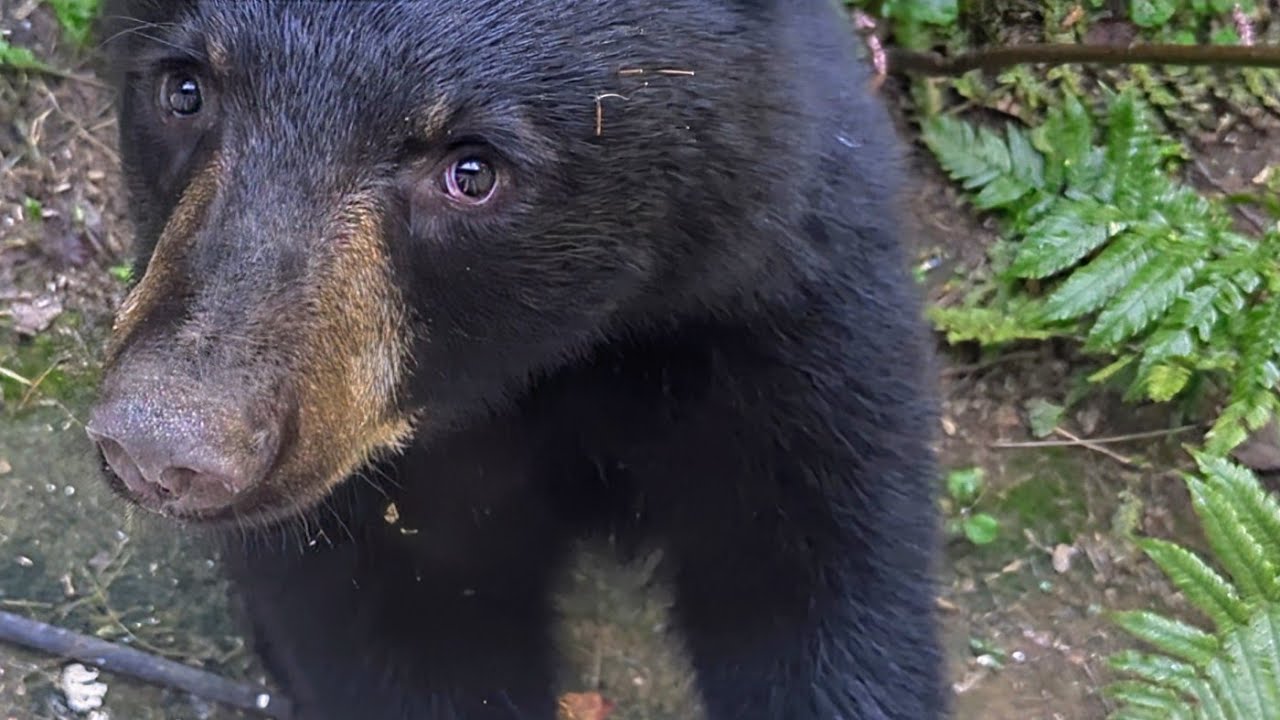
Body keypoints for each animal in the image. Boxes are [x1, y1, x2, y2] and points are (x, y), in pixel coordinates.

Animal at [87, 1, 945, 718]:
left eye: (473, 170)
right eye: (185, 90)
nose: (163, 446)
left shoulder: (781, 316)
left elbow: (827, 583)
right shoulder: (368, 504)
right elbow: (391, 633)